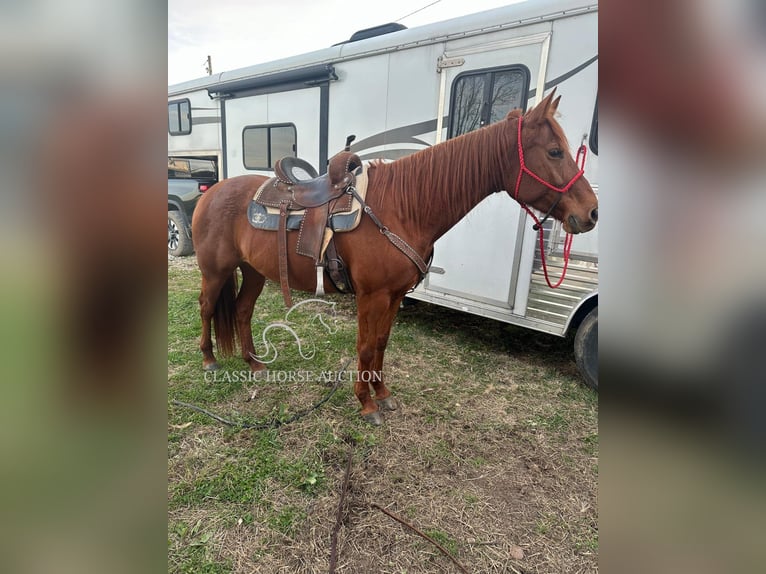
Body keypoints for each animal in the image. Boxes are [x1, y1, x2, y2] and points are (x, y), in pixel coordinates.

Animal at [192, 94, 600, 426]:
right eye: (554, 152)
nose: (592, 212)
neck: (403, 208)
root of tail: (211, 191)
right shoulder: (371, 295)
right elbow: (365, 346)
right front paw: (365, 404)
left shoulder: (395, 295)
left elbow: (382, 343)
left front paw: (383, 395)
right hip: (215, 271)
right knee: (207, 306)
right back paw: (209, 359)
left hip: (253, 271)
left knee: (242, 310)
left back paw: (254, 364)